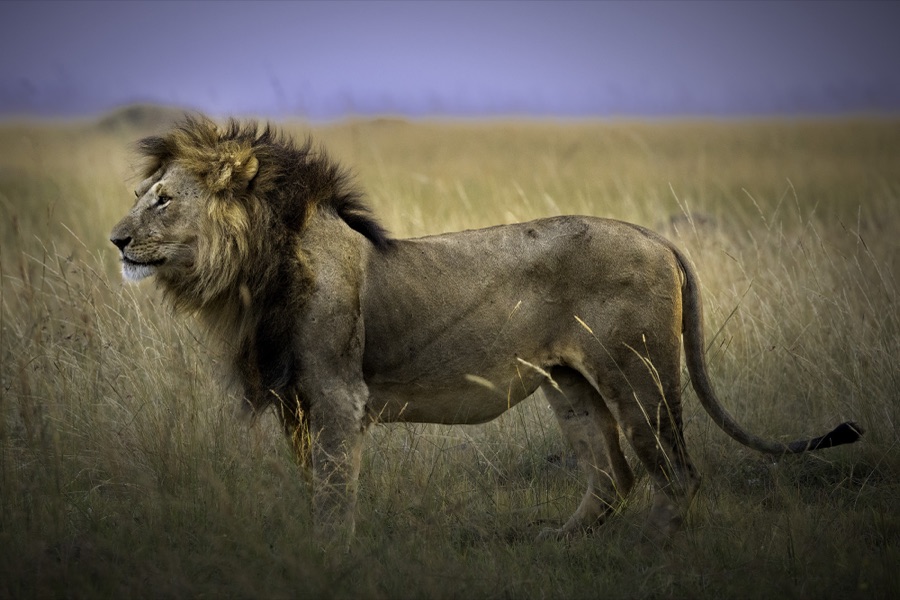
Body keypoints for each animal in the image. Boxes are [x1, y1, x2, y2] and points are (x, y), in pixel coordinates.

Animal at [110, 116, 862, 546]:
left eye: (164, 200)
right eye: (140, 196)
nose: (114, 239)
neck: (250, 273)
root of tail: (657, 237)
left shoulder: (337, 397)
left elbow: (333, 491)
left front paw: (330, 559)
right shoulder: (297, 401)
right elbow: (313, 485)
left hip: (638, 373)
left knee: (676, 473)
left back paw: (657, 552)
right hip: (570, 384)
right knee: (613, 474)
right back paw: (559, 542)